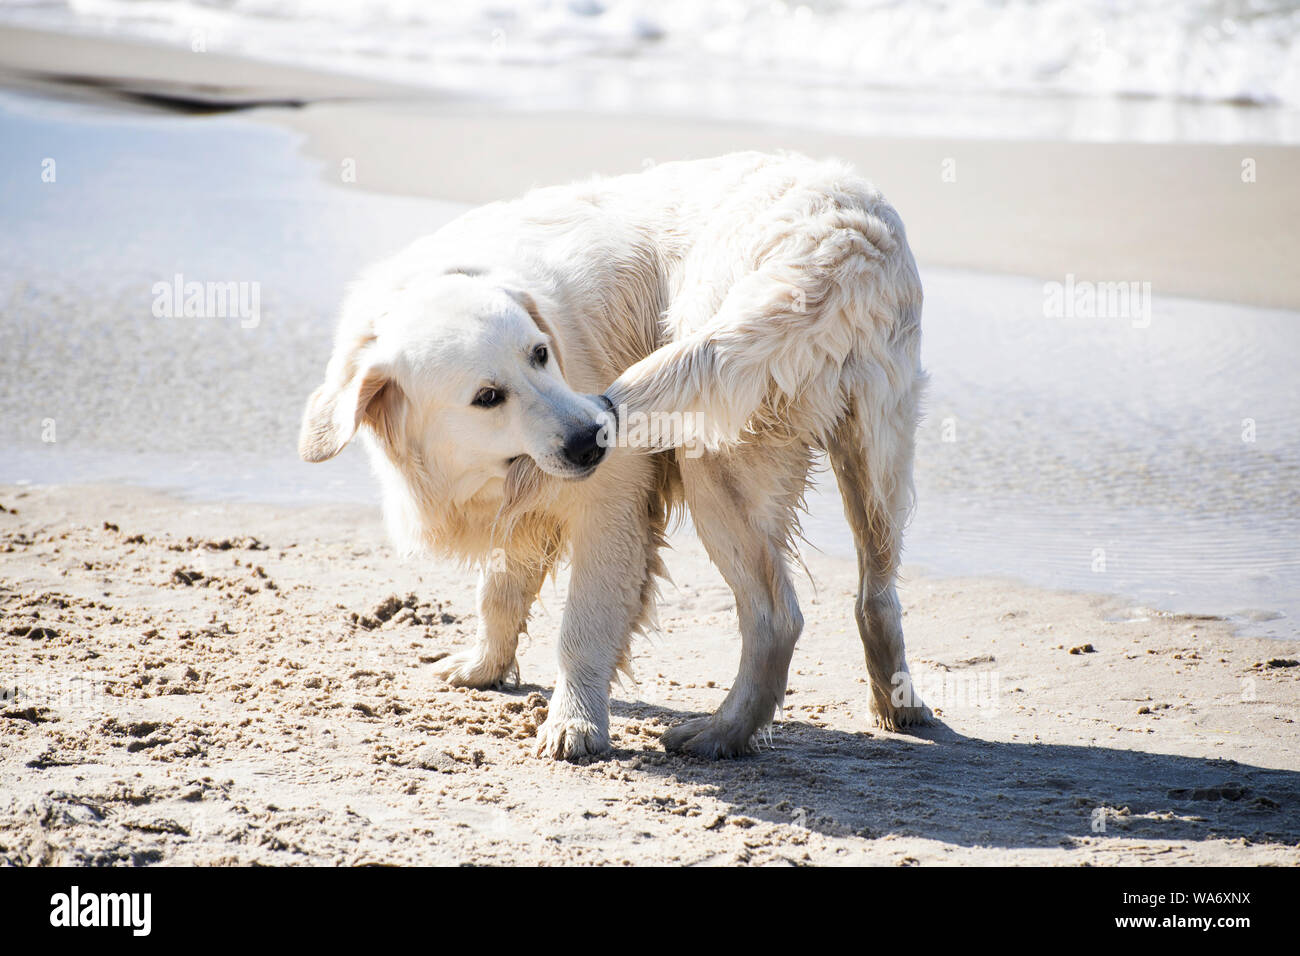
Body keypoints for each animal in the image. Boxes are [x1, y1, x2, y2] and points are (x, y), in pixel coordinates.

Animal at [299, 151, 930, 764]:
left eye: (540, 354)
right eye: (487, 397)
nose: (592, 439)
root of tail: (840, 240)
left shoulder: (612, 502)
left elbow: (582, 627)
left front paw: (574, 723)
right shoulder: (520, 507)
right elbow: (498, 592)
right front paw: (483, 667)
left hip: (715, 457)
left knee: (777, 616)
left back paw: (721, 733)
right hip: (876, 458)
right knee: (876, 595)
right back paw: (898, 706)